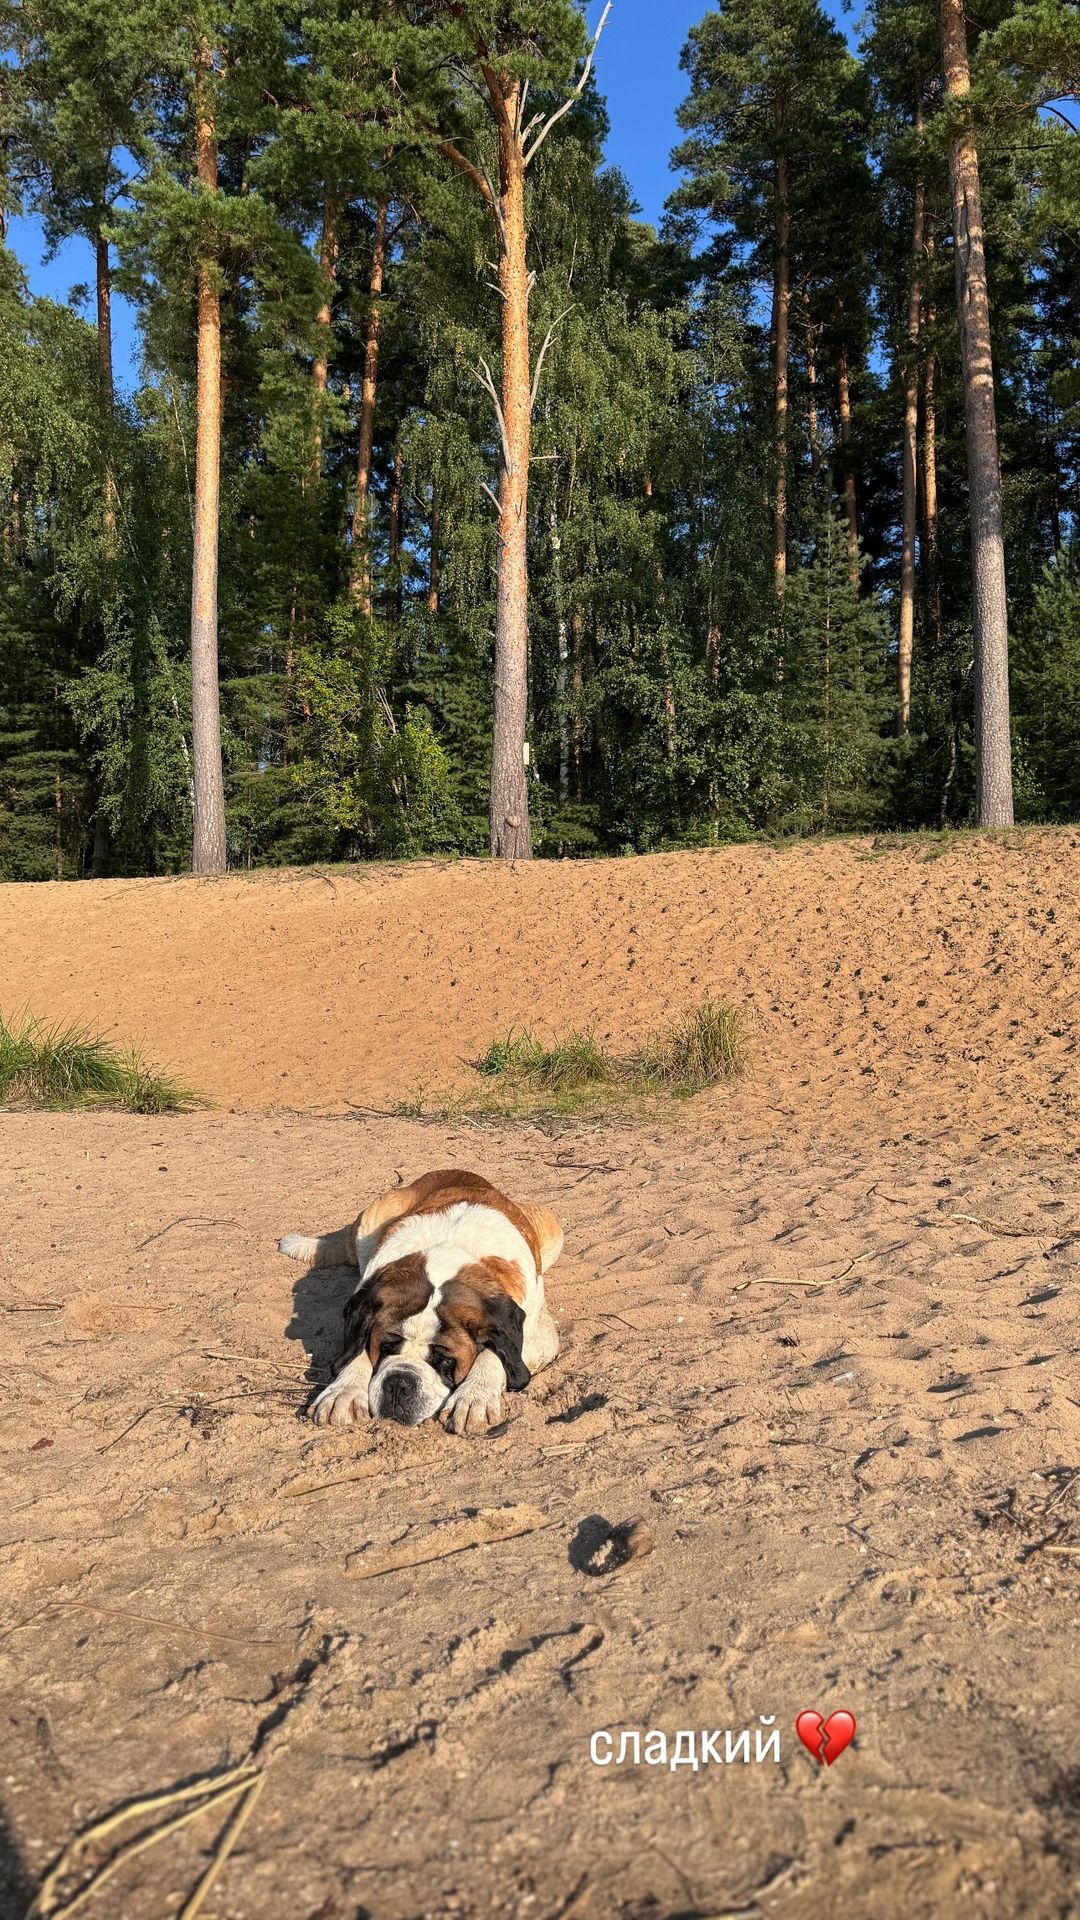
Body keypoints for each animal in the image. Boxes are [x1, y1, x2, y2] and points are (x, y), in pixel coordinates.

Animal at [274, 1159, 564, 1436]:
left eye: (444, 1360)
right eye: (387, 1346)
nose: (399, 1382)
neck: (447, 1255)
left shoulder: (539, 1336)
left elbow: (496, 1353)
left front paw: (474, 1396)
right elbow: (355, 1348)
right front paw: (343, 1391)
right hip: (373, 1218)